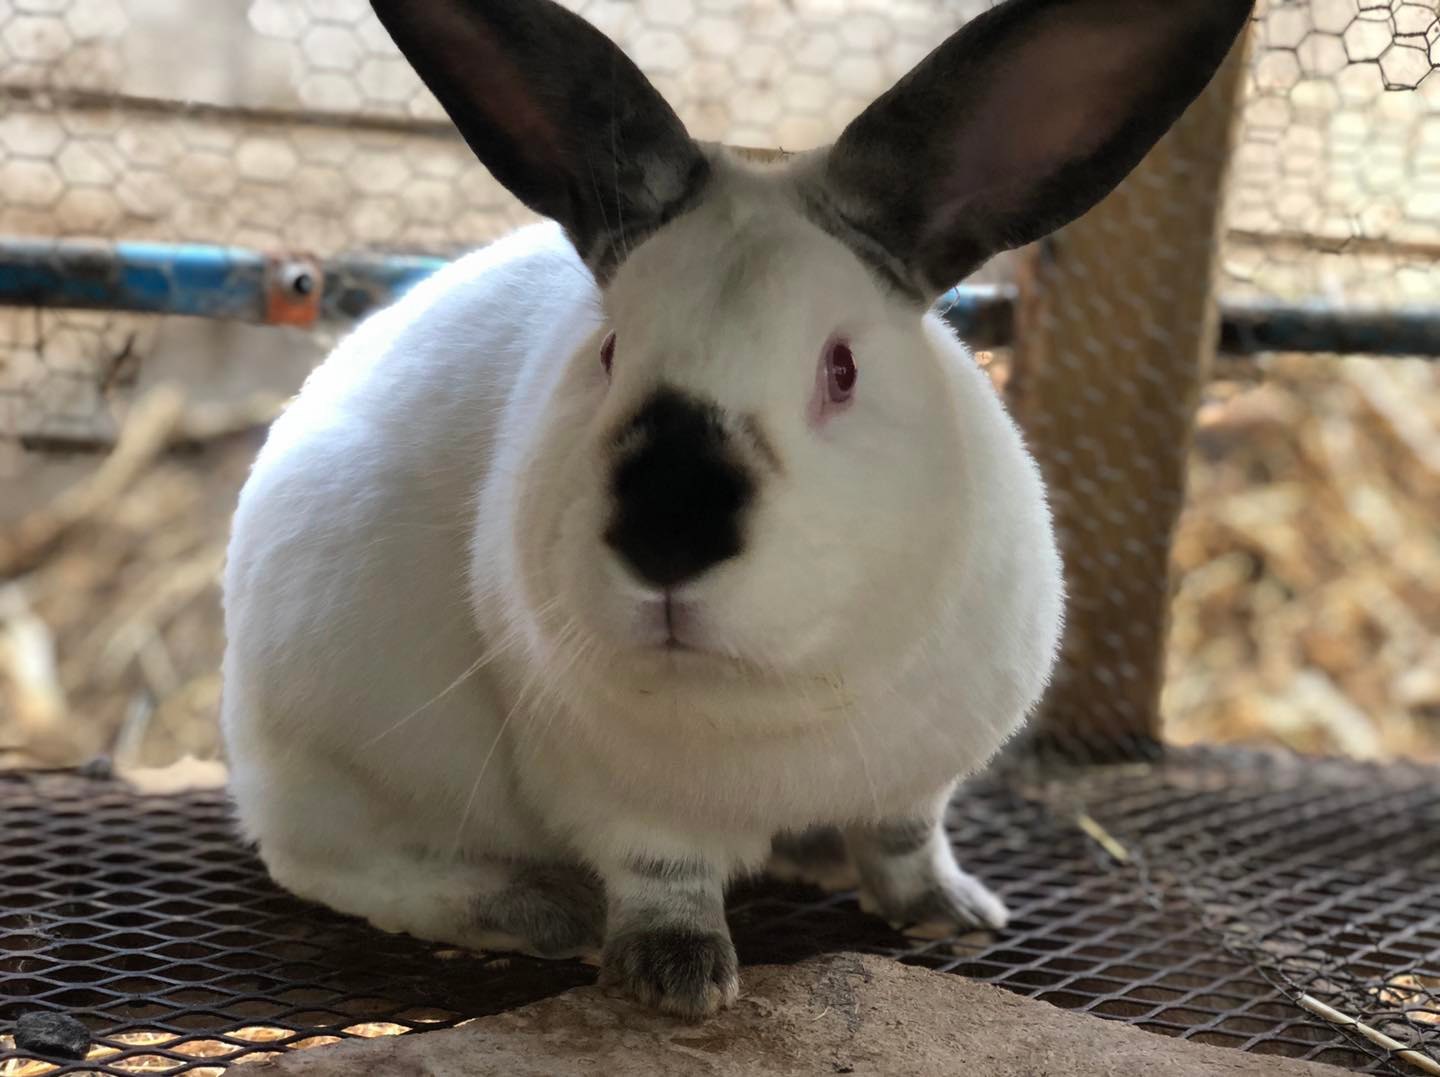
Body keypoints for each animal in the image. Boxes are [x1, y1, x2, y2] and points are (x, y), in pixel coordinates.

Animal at [221, 0, 1253, 1019]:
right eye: (607, 353)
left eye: (841, 367)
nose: (667, 537)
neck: (772, 690)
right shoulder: (623, 801)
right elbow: (664, 878)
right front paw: (677, 978)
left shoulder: (919, 780)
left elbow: (907, 840)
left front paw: (953, 913)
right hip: (337, 727)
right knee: (323, 858)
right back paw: (537, 907)